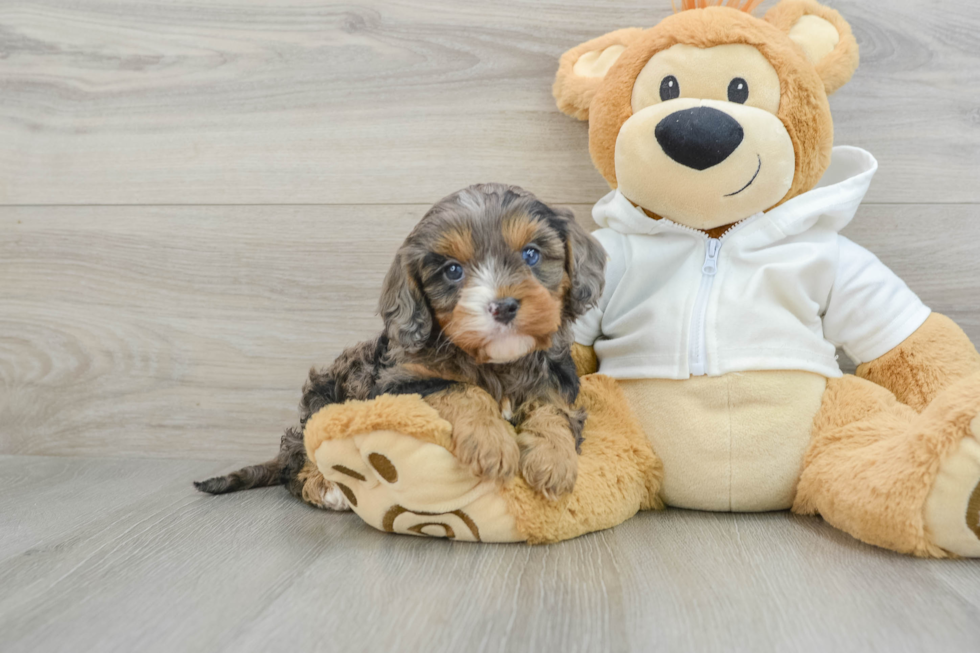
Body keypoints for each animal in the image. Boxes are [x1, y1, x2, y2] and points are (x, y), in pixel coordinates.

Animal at [196, 183, 608, 504]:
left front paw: (554, 460)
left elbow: (553, 410)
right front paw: (492, 443)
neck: (493, 362)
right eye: (452, 271)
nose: (503, 306)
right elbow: (461, 389)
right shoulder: (400, 383)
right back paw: (324, 486)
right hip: (321, 401)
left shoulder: (554, 380)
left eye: (531, 254)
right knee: (296, 463)